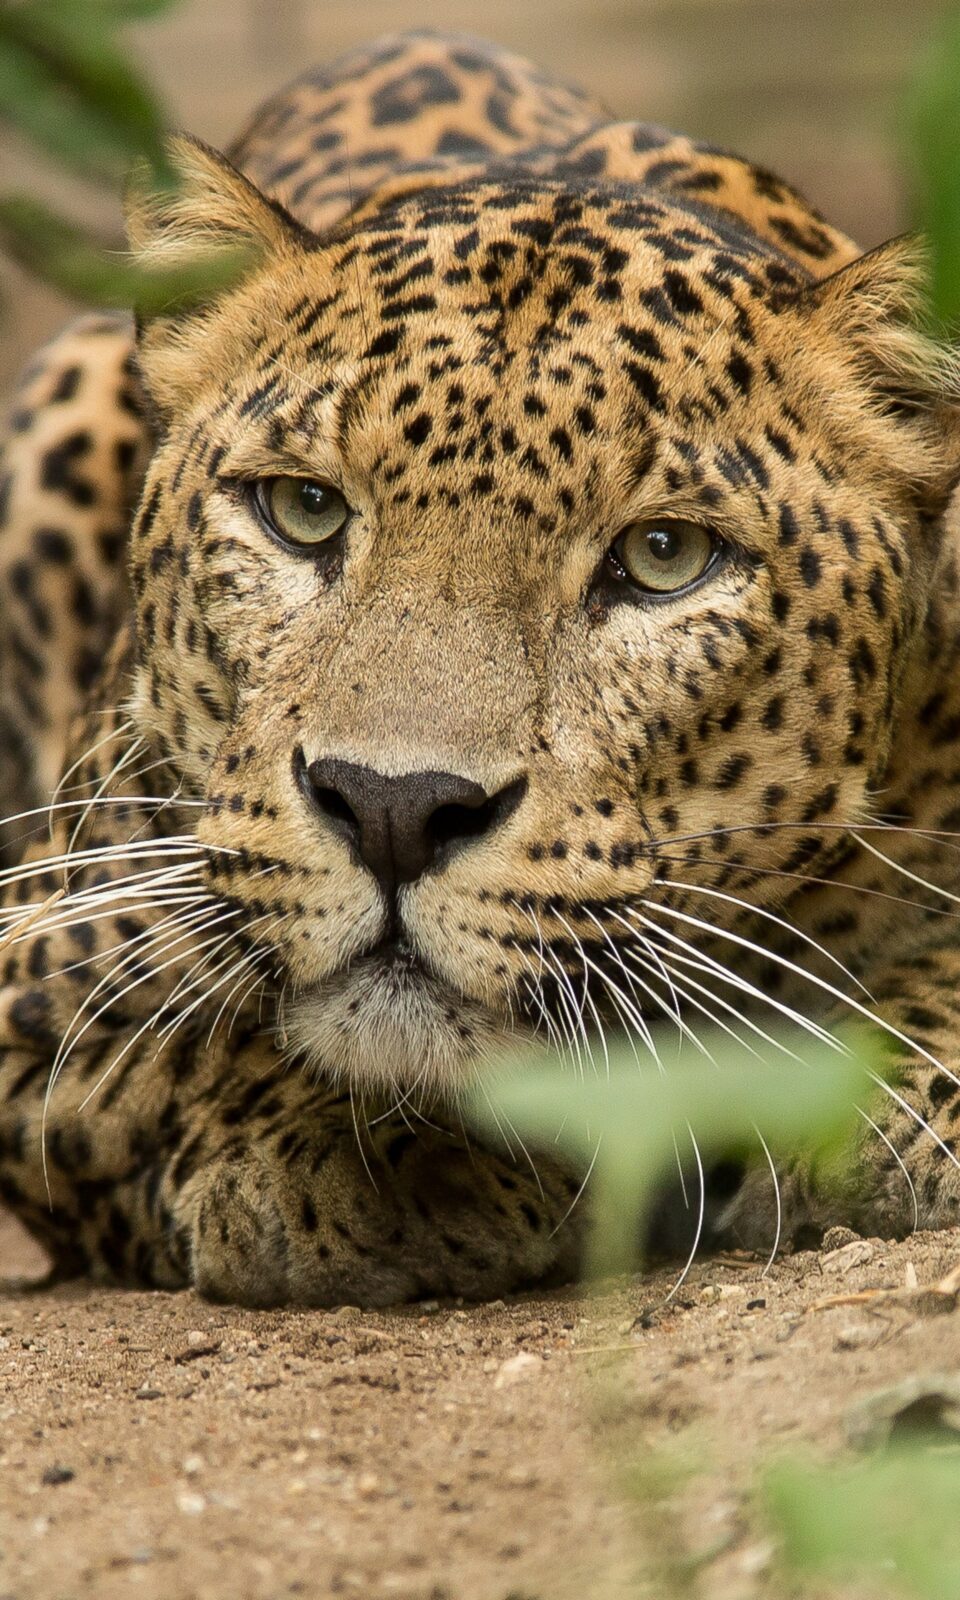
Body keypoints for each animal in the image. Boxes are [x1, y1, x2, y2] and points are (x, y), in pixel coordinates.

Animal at [1, 31, 960, 1305]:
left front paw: (896, 1104)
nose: (393, 811)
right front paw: (358, 1154)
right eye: (303, 509)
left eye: (665, 556)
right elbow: (165, 1065)